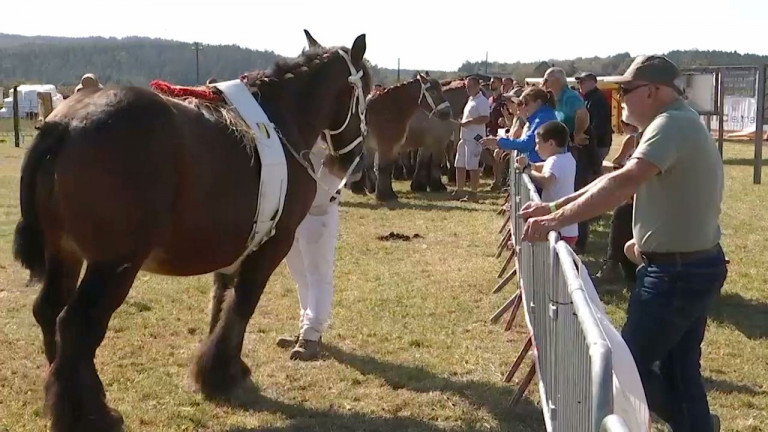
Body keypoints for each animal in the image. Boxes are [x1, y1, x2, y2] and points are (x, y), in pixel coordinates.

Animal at [12, 34, 372, 432]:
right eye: (366, 93)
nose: (358, 167)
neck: (281, 121)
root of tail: (65, 125)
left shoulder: (236, 246)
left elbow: (222, 303)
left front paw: (216, 370)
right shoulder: (275, 242)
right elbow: (243, 304)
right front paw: (225, 375)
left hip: (65, 254)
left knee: (50, 312)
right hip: (113, 266)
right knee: (76, 325)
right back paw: (89, 413)